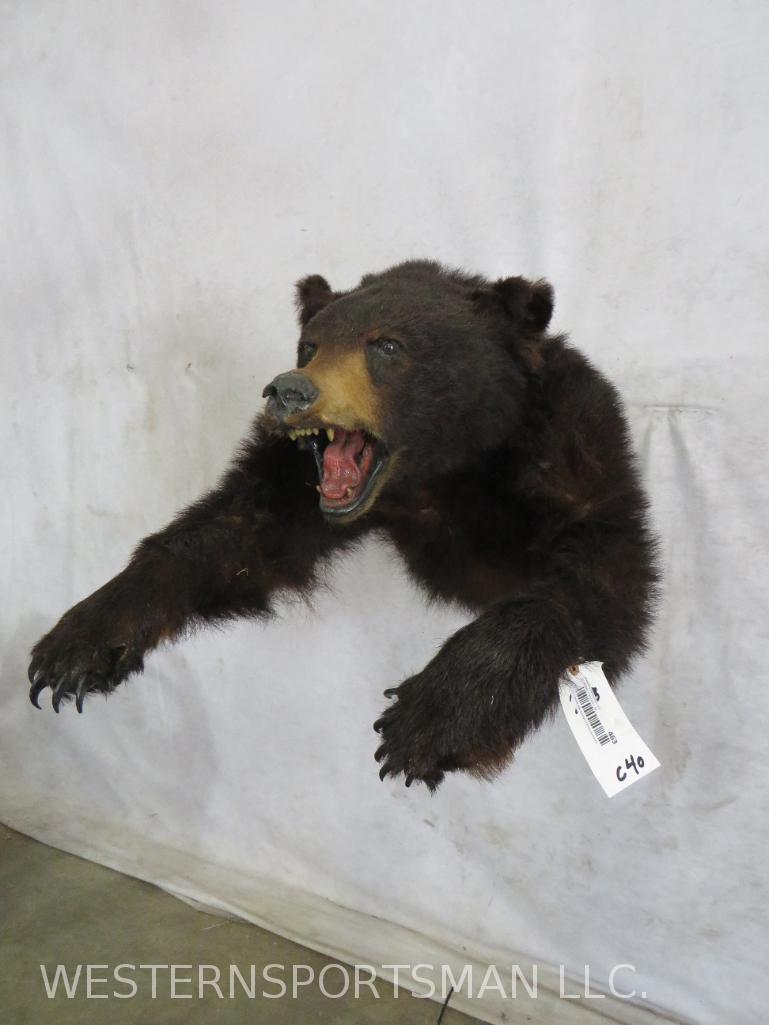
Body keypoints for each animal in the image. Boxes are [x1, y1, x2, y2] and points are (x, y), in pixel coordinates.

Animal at [28, 260, 658, 791]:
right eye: (310, 345)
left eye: (387, 345)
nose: (288, 390)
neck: (438, 474)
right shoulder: (293, 478)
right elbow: (231, 533)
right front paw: (80, 642)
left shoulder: (572, 460)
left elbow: (589, 584)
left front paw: (428, 720)